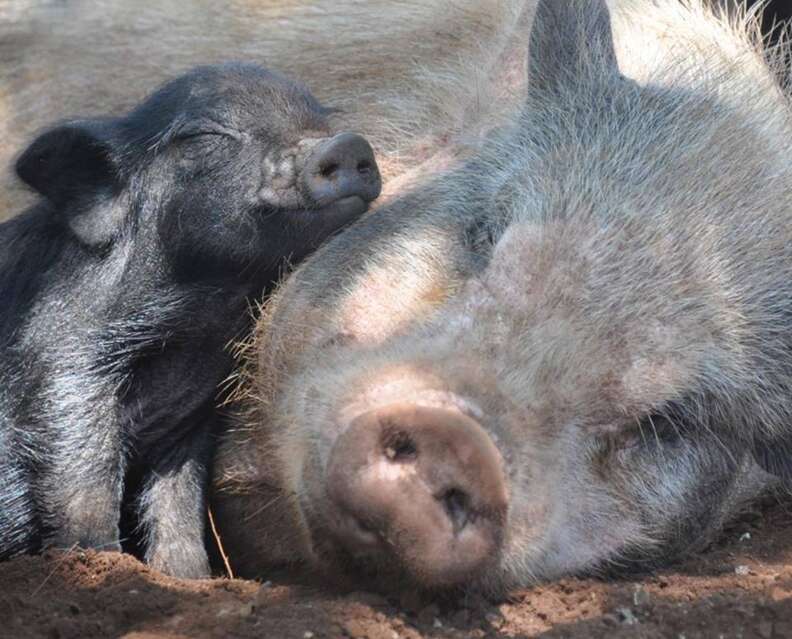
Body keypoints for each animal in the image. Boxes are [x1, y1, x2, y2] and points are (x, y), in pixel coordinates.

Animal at [0, 62, 381, 578]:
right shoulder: (61, 354)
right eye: (205, 135)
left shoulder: (193, 414)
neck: (198, 323)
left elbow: (178, 495)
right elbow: (84, 464)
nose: (345, 143)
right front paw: (102, 561)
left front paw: (189, 578)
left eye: (320, 120)